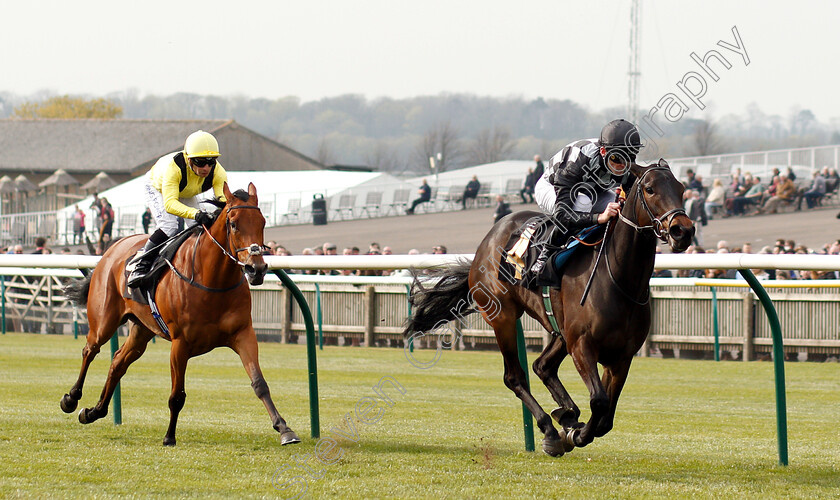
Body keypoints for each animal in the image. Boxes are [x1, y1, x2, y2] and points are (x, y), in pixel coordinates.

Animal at [60, 183, 302, 446]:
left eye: (262, 222)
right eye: (234, 223)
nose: (256, 269)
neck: (212, 280)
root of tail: (112, 248)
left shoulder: (243, 334)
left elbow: (260, 383)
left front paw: (285, 429)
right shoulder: (180, 344)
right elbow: (177, 395)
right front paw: (169, 437)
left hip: (142, 330)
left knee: (118, 362)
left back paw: (94, 411)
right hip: (103, 320)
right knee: (90, 350)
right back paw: (71, 399)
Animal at [404, 162, 692, 456]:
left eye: (681, 188)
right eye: (650, 189)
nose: (683, 231)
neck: (620, 279)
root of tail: (488, 240)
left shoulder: (622, 356)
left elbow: (606, 419)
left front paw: (572, 423)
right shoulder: (582, 345)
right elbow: (599, 402)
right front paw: (574, 435)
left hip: (559, 330)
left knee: (542, 366)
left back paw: (566, 414)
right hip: (504, 318)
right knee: (514, 377)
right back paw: (551, 430)